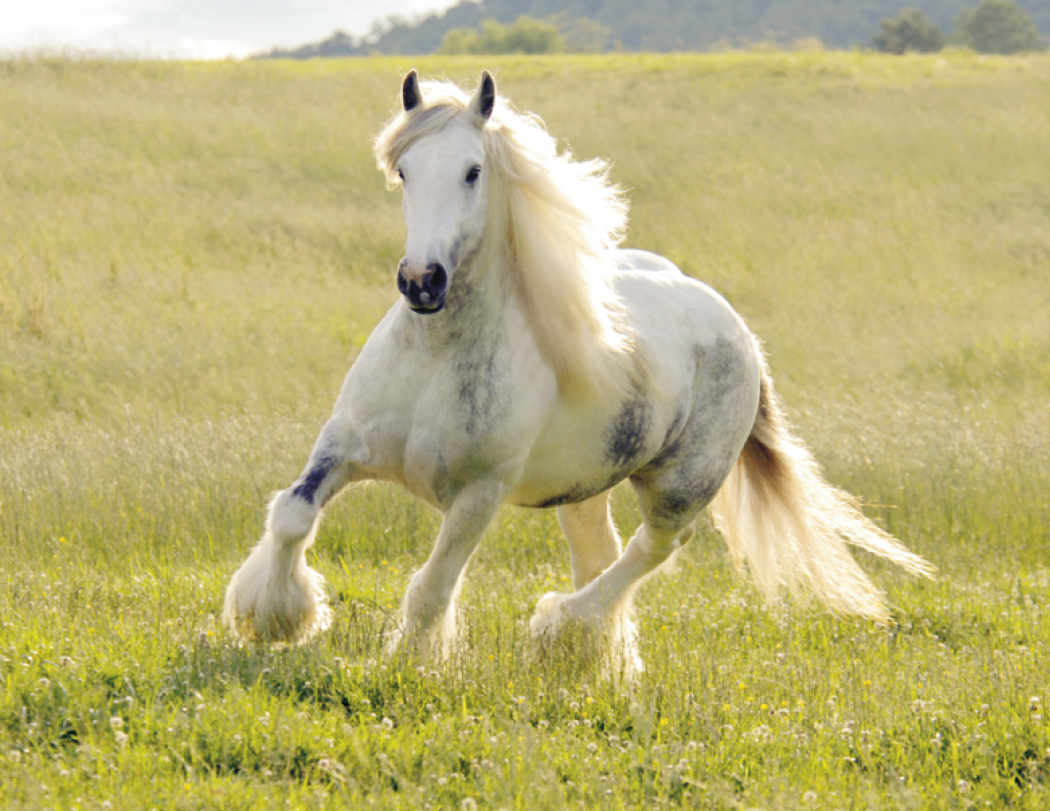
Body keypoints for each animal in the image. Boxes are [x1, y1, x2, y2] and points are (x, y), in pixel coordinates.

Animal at [223, 70, 934, 672]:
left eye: (473, 171)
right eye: (403, 171)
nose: (422, 281)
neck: (434, 357)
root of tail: (736, 330)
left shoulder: (479, 493)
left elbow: (432, 588)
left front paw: (402, 665)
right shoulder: (343, 445)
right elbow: (293, 514)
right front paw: (274, 621)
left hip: (682, 485)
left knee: (651, 551)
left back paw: (564, 632)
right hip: (586, 488)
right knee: (603, 554)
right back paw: (600, 658)